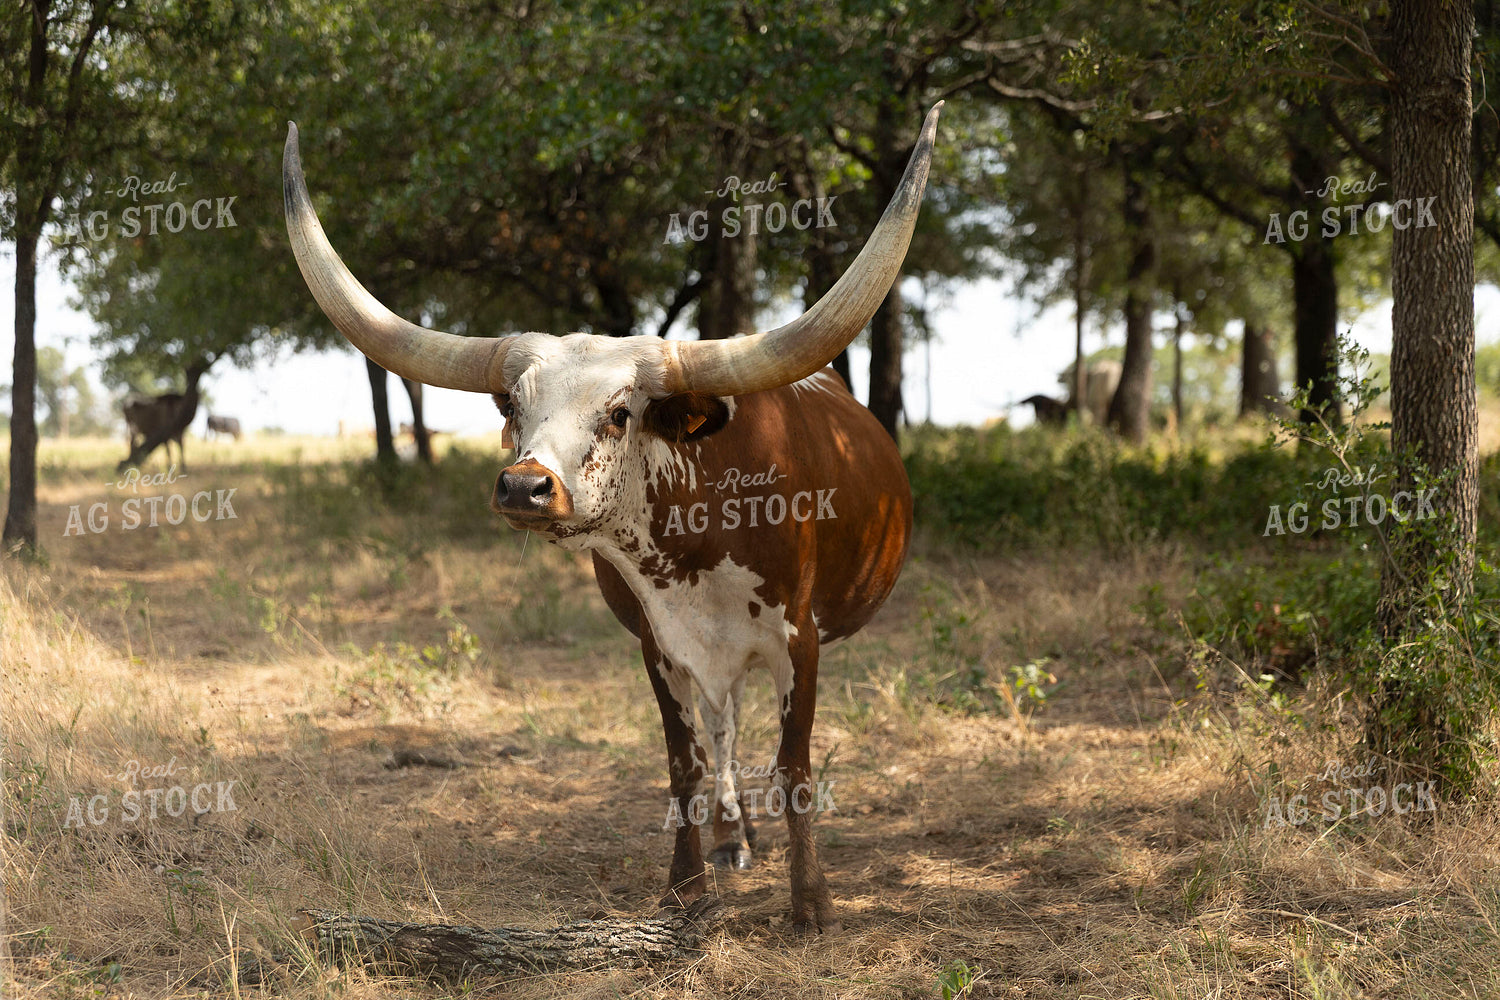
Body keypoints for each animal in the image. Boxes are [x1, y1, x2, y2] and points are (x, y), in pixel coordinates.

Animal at [283, 103, 943, 935]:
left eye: (620, 412)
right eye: (513, 405)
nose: (523, 486)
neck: (700, 533)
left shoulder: (800, 639)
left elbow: (794, 765)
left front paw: (811, 904)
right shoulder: (659, 644)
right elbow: (684, 761)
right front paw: (686, 885)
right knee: (723, 724)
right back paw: (733, 837)